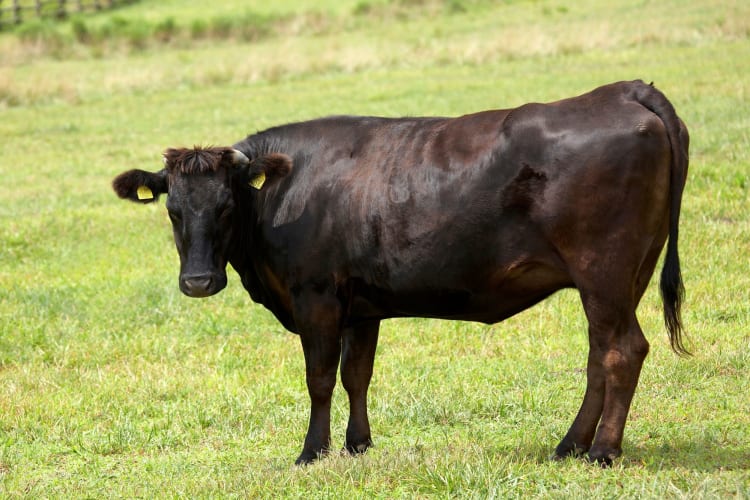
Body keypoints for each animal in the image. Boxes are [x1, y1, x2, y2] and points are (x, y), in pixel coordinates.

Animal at [108, 80, 692, 466]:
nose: (198, 282)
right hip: (623, 277)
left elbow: (320, 378)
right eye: (173, 210)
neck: (286, 189)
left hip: (604, 272)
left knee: (622, 351)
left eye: (227, 206)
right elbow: (356, 375)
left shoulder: (316, 297)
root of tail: (621, 91)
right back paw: (569, 445)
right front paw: (358, 444)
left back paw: (602, 451)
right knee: (600, 354)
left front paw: (312, 452)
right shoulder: (361, 307)